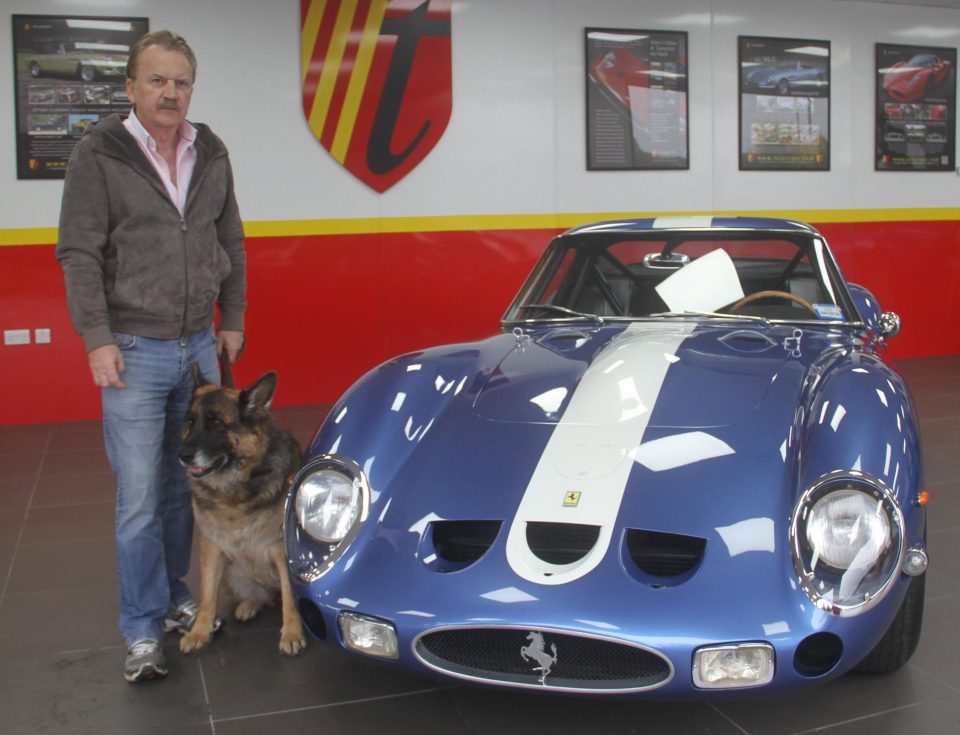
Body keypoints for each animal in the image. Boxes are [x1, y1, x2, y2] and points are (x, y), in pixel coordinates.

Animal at [176, 366, 304, 660]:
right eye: (191, 421)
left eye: (216, 423)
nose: (183, 455)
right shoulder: (211, 548)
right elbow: (206, 596)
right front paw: (200, 632)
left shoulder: (283, 550)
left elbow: (291, 600)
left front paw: (292, 633)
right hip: (231, 574)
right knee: (262, 596)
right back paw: (249, 605)